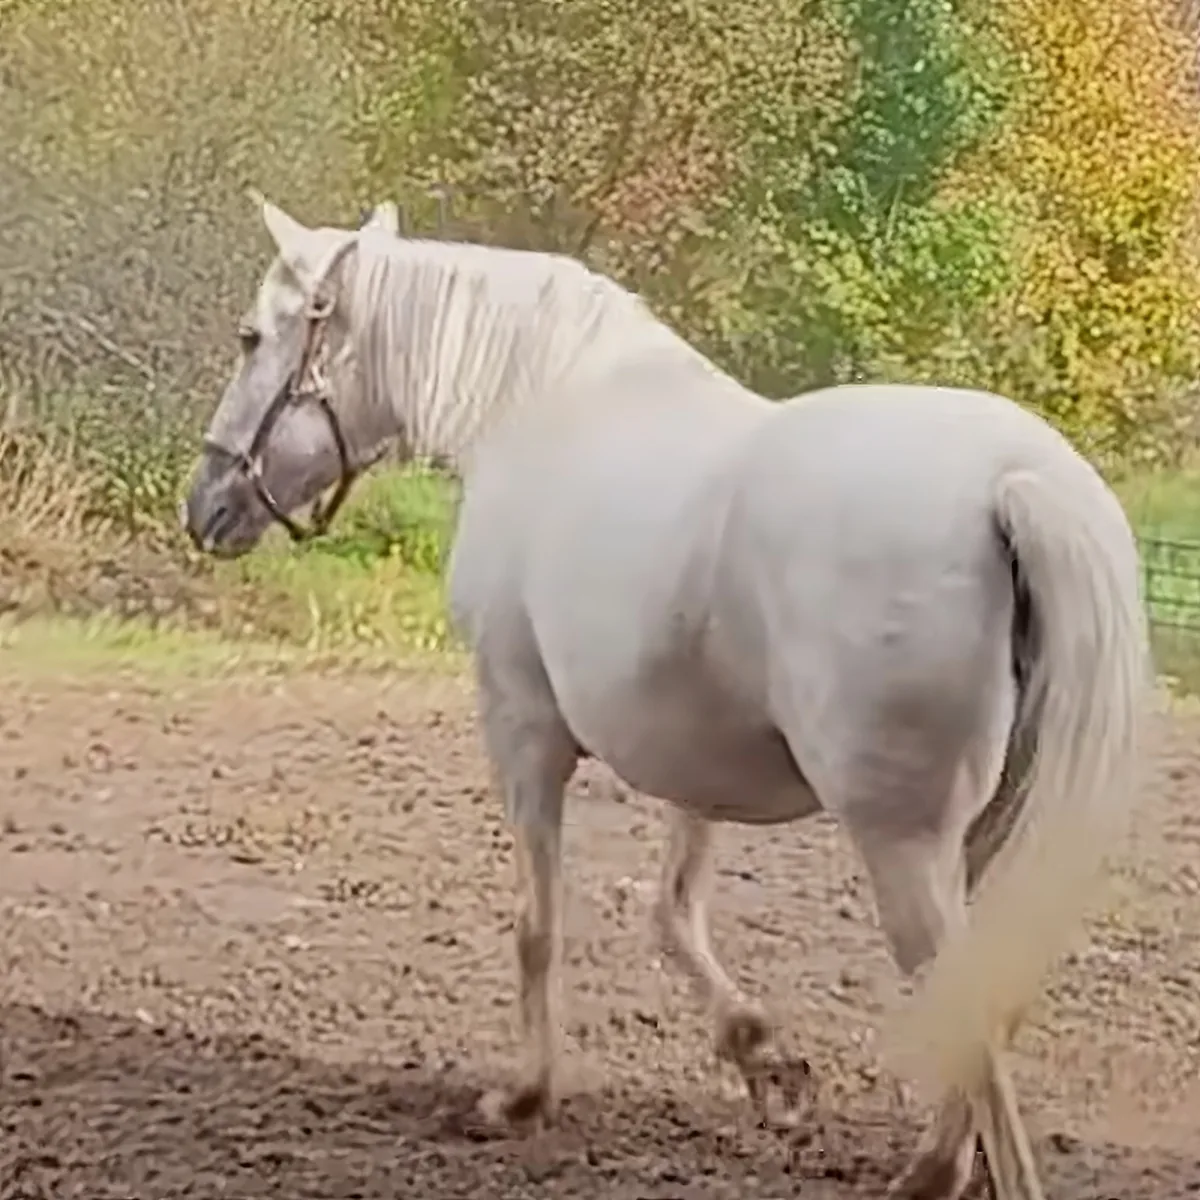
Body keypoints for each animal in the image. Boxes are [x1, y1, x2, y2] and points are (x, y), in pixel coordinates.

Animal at [183, 194, 1151, 1200]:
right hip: (984, 839)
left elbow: (539, 922)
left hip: (904, 843)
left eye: (252, 335)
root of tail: (1014, 482)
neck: (542, 402)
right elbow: (673, 912)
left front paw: (523, 1098)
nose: (206, 504)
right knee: (983, 1000)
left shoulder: (521, 726)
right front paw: (766, 1062)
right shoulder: (698, 763)